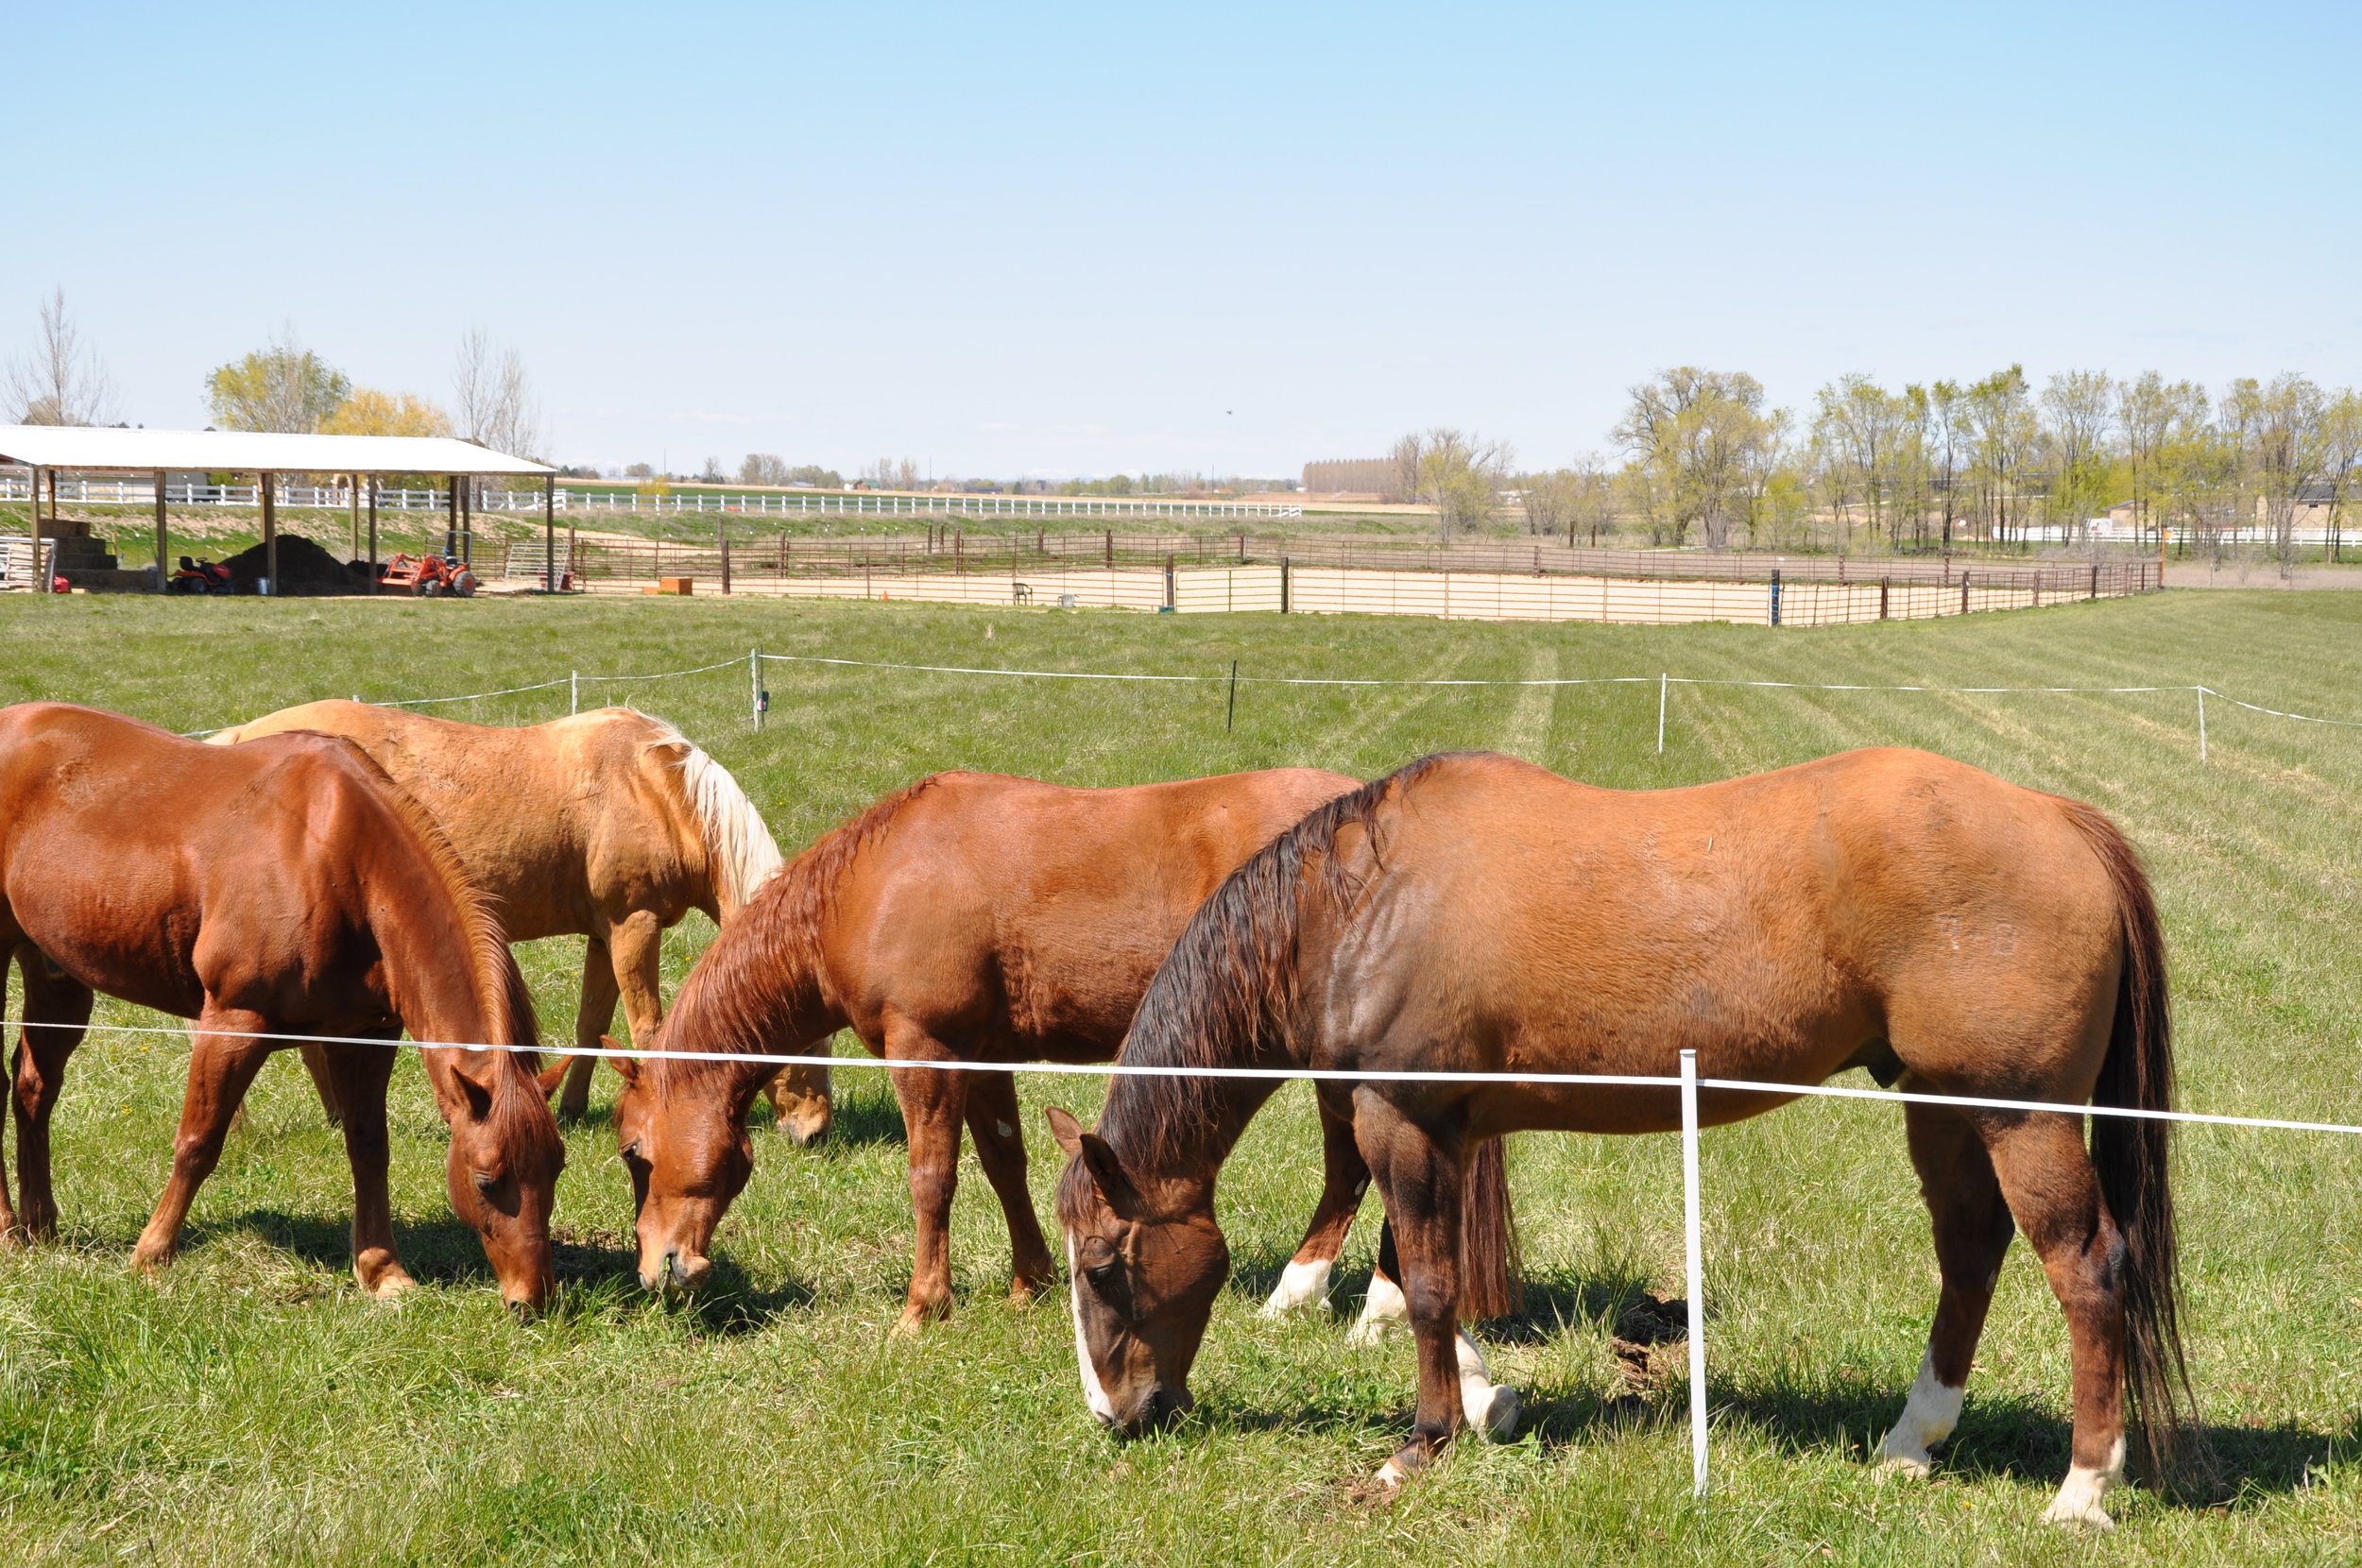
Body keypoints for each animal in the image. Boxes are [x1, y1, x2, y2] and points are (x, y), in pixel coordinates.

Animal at [0, 703, 566, 1310]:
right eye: (487, 1180)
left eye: (557, 1166)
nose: (533, 1298)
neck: (336, 857)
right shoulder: (234, 1024)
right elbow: (199, 1143)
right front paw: (151, 1257)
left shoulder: (366, 1036)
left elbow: (369, 1147)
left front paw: (381, 1270)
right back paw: (9, 1231)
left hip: (56, 974)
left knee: (33, 1087)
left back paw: (40, 1227)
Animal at [206, 701, 812, 1136]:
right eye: (804, 1043)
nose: (815, 1132)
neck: (656, 790)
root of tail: (238, 739)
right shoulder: (634, 925)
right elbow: (649, 1027)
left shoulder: (604, 934)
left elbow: (591, 1023)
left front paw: (571, 1108)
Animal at [612, 766, 1517, 1402]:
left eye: (633, 1154)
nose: (657, 1271)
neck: (876, 881)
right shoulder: (979, 1057)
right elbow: (1004, 1165)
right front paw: (1030, 1283)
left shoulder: (924, 1049)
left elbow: (931, 1178)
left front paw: (922, 1308)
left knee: (1356, 1166)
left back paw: (1344, 1302)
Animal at [1050, 748, 2188, 1529]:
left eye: (1104, 1266)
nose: (1114, 1414)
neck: (1362, 900)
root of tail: (2059, 818)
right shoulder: (1433, 1128)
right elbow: (1424, 1278)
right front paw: (1486, 1402)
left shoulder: (1398, 1121)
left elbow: (1427, 1284)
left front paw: (1421, 1444)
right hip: (1941, 1106)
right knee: (1969, 1253)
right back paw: (1913, 1440)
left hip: (2021, 1116)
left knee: (2085, 1269)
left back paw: (2081, 1489)